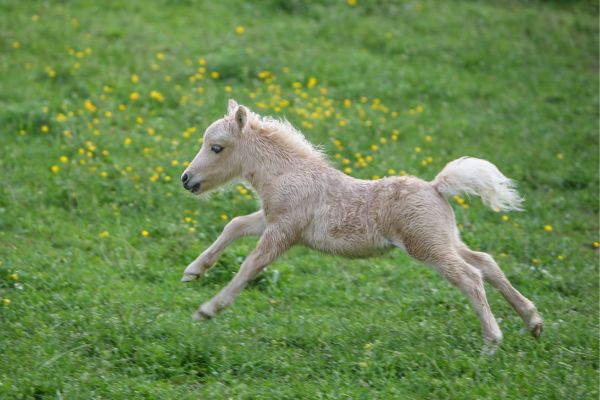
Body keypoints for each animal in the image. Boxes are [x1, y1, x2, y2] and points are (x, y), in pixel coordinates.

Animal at [180, 99, 540, 350]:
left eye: (217, 147)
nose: (187, 179)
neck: (288, 174)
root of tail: (436, 187)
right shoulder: (272, 219)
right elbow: (235, 224)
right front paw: (193, 271)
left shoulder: (284, 230)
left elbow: (251, 264)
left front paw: (208, 310)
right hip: (445, 239)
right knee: (486, 262)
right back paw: (533, 321)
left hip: (426, 245)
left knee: (470, 276)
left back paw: (492, 342)